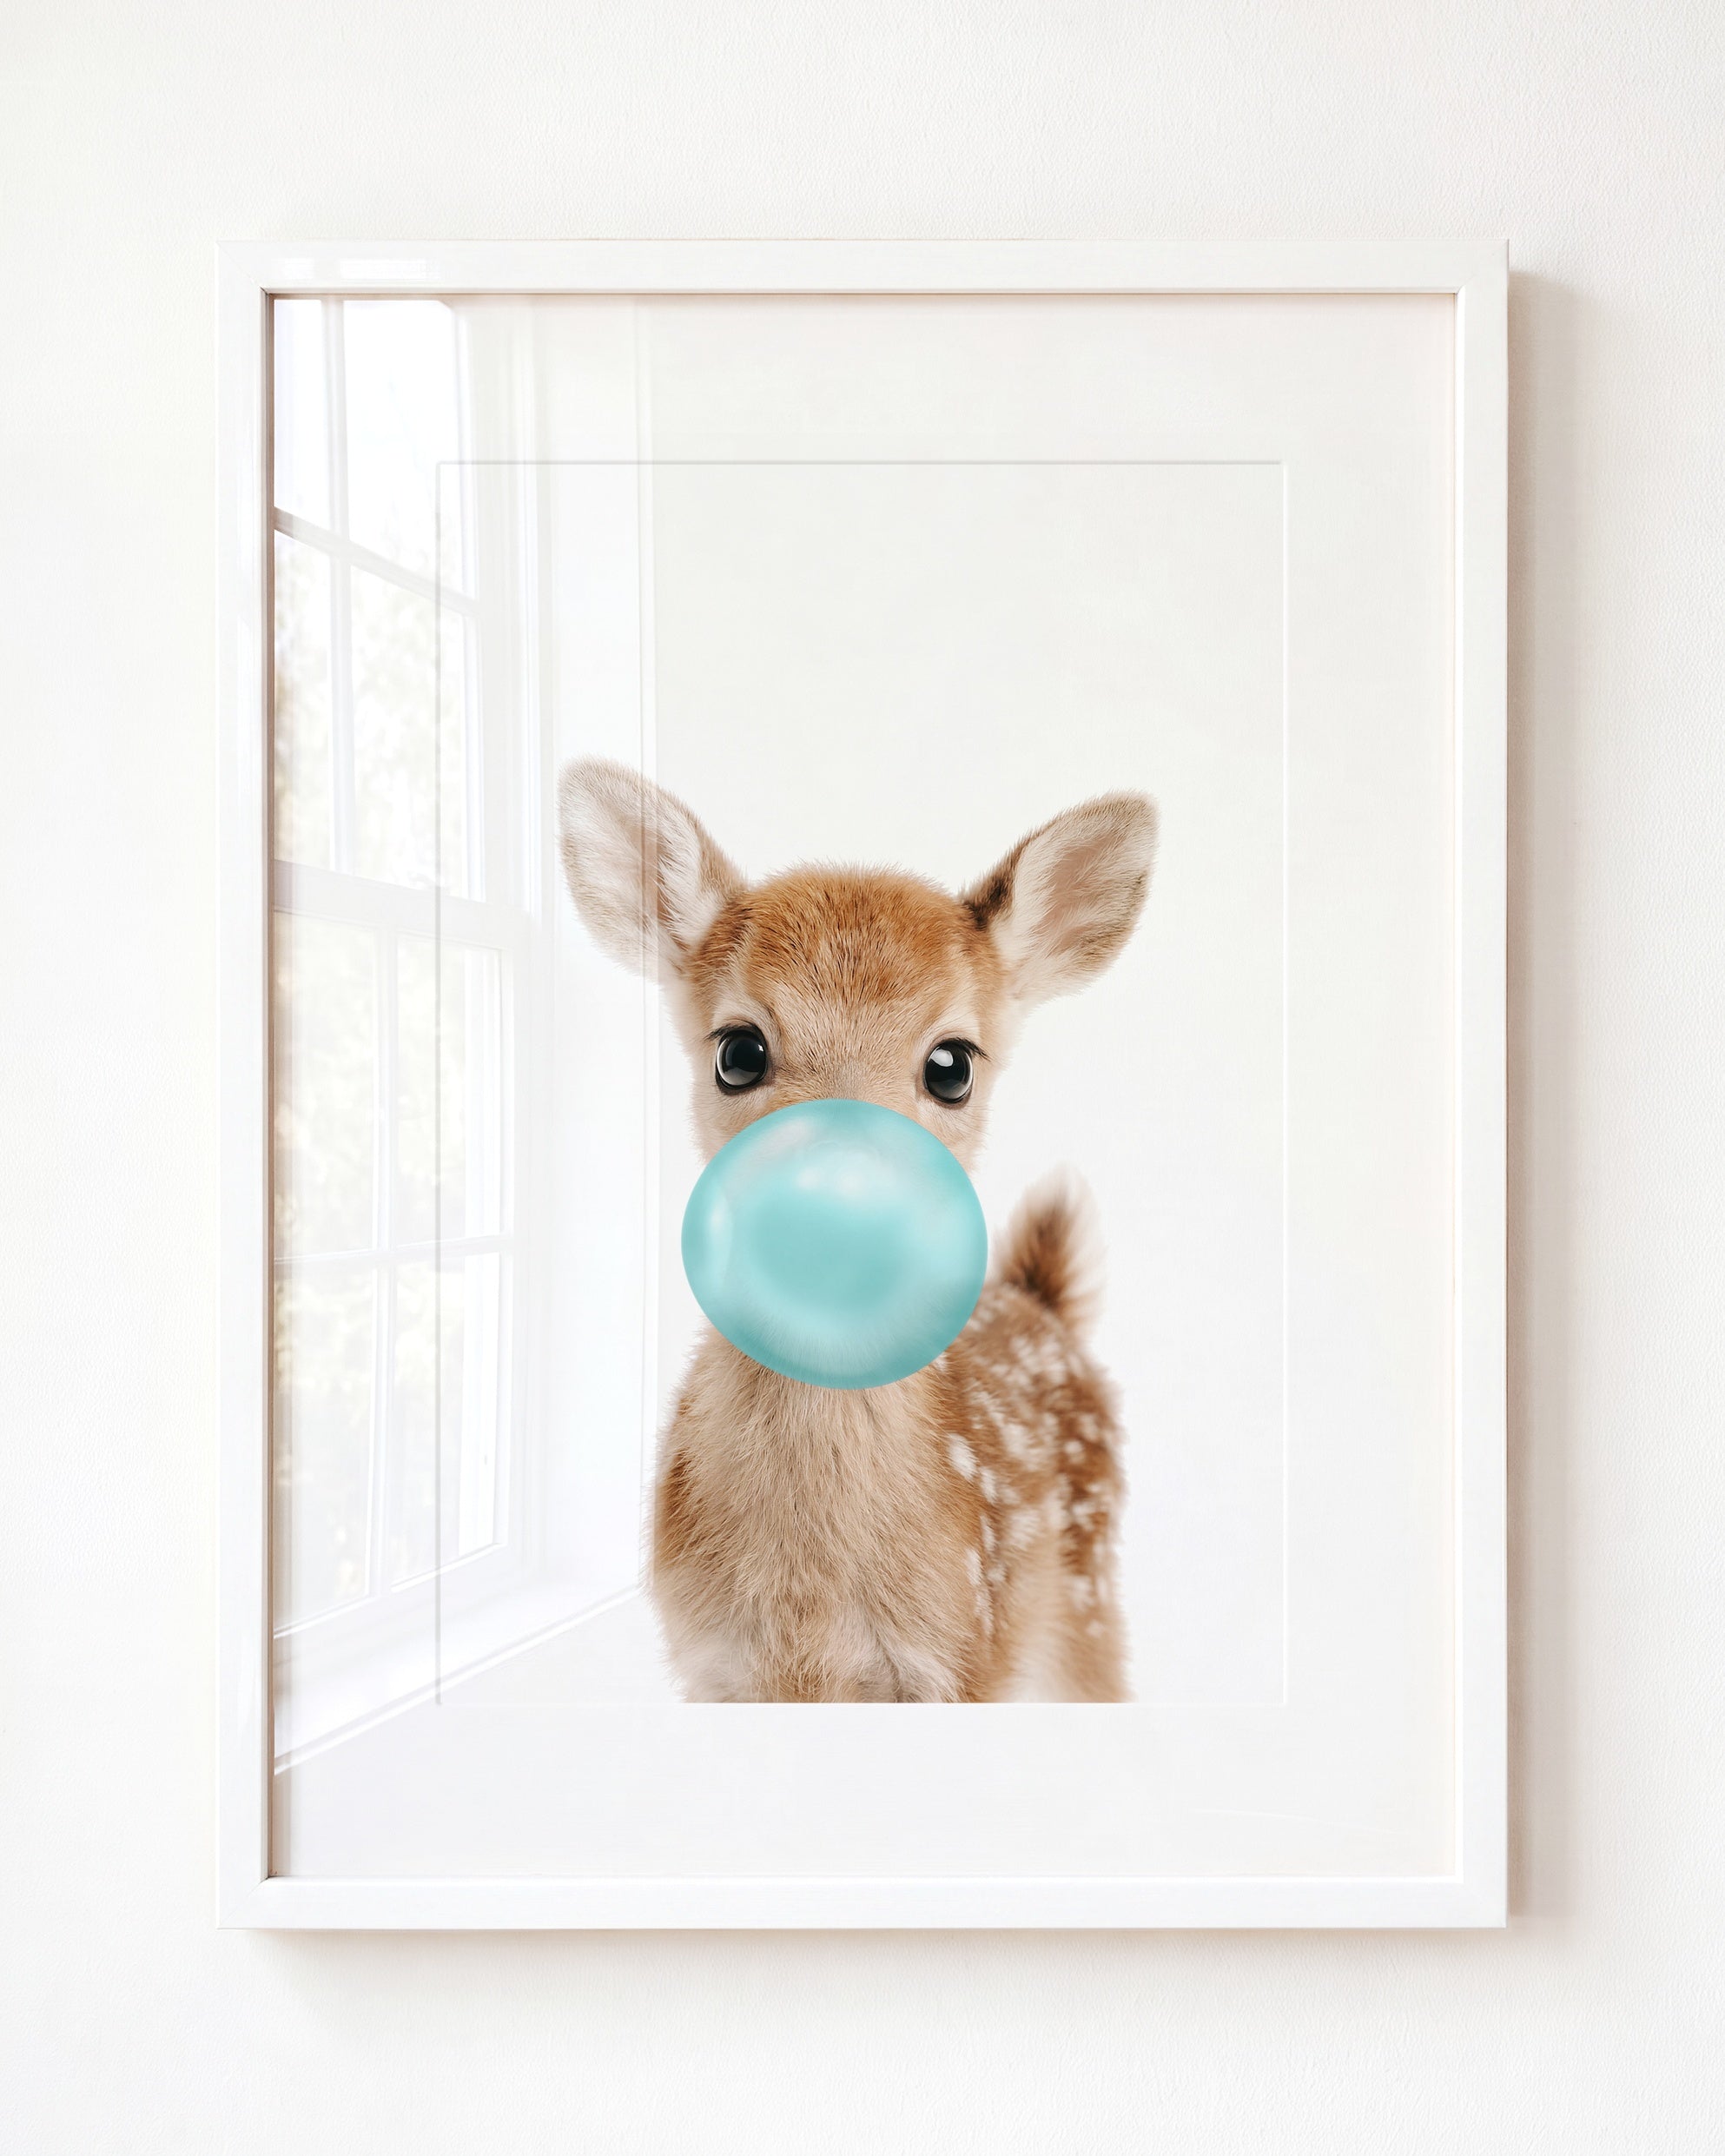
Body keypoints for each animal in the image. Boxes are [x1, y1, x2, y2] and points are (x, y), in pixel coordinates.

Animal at [557, 759, 1157, 1702]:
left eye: (952, 1065)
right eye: (738, 1051)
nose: (837, 1205)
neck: (811, 1612)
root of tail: (1043, 1303)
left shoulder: (962, 1655)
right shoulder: (712, 1666)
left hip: (1085, 1607)